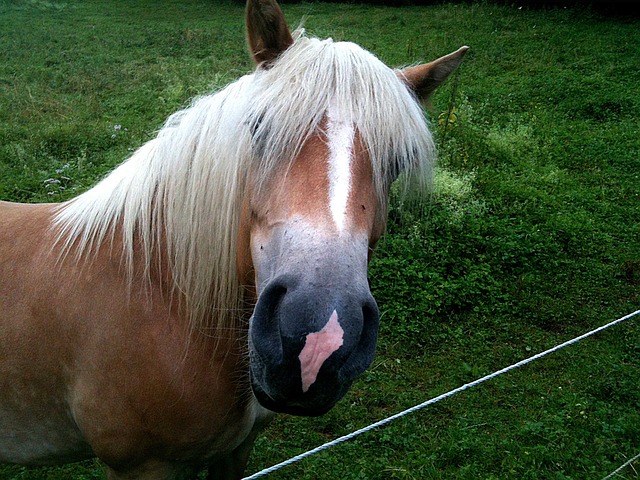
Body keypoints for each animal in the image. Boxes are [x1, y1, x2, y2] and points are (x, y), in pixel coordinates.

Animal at [0, 1, 468, 478]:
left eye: (398, 161)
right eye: (259, 129)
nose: (320, 337)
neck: (162, 293)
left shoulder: (237, 450)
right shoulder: (141, 466)